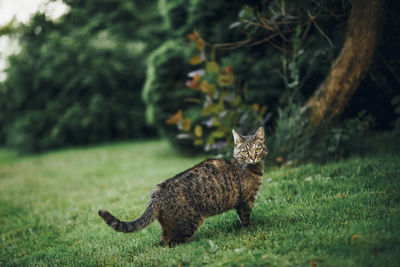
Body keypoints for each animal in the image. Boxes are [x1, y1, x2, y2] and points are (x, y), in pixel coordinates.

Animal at [98, 127, 268, 247]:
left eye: (257, 149)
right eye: (245, 151)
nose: (253, 157)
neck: (251, 168)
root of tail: (156, 194)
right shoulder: (245, 201)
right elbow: (245, 219)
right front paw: (250, 230)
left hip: (170, 226)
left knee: (161, 242)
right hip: (186, 225)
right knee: (169, 244)